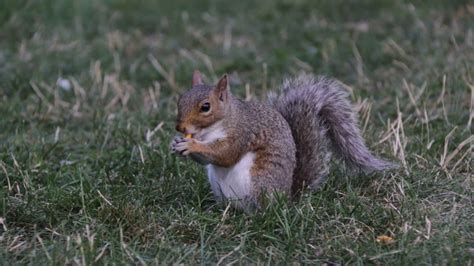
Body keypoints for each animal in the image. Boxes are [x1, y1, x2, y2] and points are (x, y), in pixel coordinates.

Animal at [170, 70, 396, 212]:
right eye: (180, 100)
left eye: (205, 107)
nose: (180, 128)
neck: (210, 130)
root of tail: (286, 198)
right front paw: (177, 143)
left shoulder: (243, 133)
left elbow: (226, 154)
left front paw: (190, 145)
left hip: (260, 182)